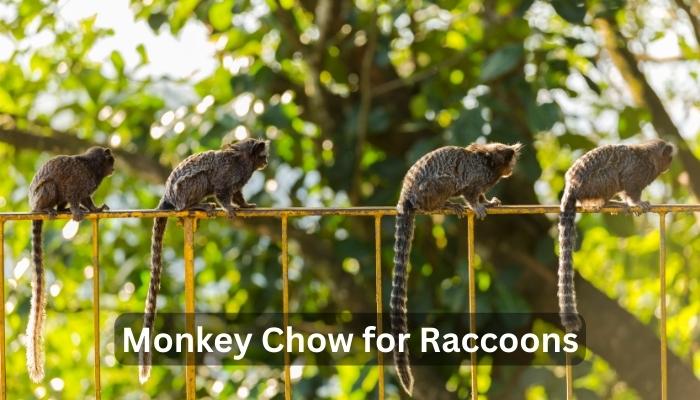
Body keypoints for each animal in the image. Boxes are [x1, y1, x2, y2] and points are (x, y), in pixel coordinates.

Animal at [26, 146, 115, 382]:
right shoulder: (79, 180)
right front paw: (77, 211)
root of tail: (32, 206)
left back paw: (61, 209)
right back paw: (47, 210)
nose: (113, 168)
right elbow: (74, 194)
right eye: (111, 160)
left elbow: (86, 199)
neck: (91, 167)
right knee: (51, 186)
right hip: (40, 197)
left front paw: (96, 209)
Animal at [139, 138, 269, 383]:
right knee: (200, 182)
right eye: (263, 155)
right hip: (184, 189)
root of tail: (168, 195)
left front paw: (245, 206)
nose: (266, 162)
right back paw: (195, 206)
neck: (243, 160)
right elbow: (221, 190)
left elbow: (238, 195)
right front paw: (228, 208)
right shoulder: (228, 174)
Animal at [391, 142, 522, 395]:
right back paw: (444, 204)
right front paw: (478, 206)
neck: (488, 163)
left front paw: (488, 202)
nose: (511, 171)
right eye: (509, 161)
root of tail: (406, 193)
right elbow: (470, 193)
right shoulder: (475, 178)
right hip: (429, 190)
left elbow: (481, 195)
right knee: (447, 185)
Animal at [558, 139, 675, 332]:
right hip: (596, 182)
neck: (649, 158)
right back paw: (607, 202)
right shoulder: (637, 171)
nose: (669, 165)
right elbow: (629, 186)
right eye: (669, 157)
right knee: (612, 175)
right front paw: (637, 203)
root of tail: (572, 185)